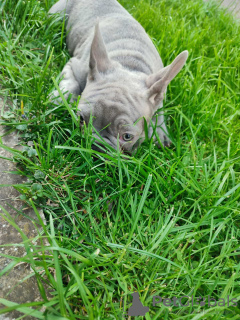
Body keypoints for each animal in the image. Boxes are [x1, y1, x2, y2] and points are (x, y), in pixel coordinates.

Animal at [48, 0, 188, 152]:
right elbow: (71, 83)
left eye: (127, 137)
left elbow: (159, 109)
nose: (96, 145)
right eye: (80, 119)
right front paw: (59, 99)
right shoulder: (75, 66)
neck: (129, 65)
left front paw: (159, 133)